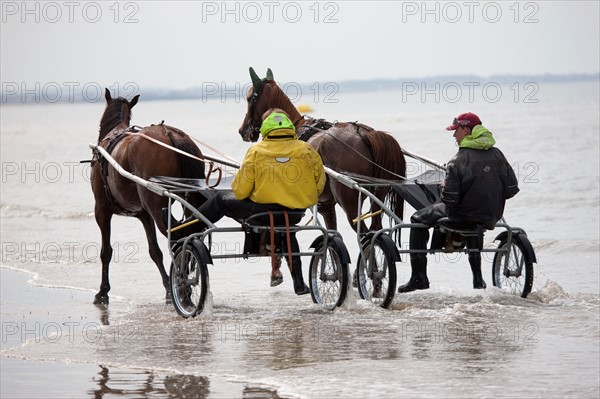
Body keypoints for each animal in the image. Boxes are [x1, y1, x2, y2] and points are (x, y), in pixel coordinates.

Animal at [89, 89, 206, 304]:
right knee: (190, 233)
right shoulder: (143, 214)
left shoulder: (101, 210)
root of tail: (170, 134)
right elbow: (155, 252)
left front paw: (103, 291)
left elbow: (106, 252)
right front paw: (168, 287)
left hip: (155, 205)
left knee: (178, 238)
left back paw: (183, 285)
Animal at [237, 67, 406, 233]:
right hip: (378, 193)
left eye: (248, 98)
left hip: (348, 200)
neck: (295, 128)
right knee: (376, 229)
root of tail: (362, 133)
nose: (242, 130)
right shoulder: (328, 204)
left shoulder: (323, 205)